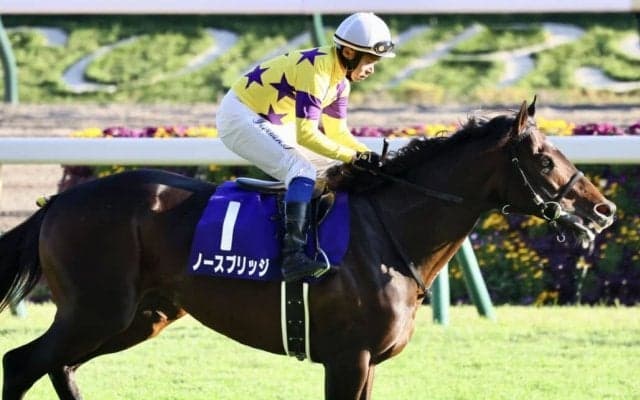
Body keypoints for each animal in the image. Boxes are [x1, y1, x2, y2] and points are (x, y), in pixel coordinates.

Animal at [0, 99, 616, 400]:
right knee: (23, 362)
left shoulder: (365, 363)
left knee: (59, 367)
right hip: (96, 311)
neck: (387, 234)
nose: (603, 210)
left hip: (139, 317)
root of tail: (58, 202)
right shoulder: (348, 357)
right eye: (543, 158)